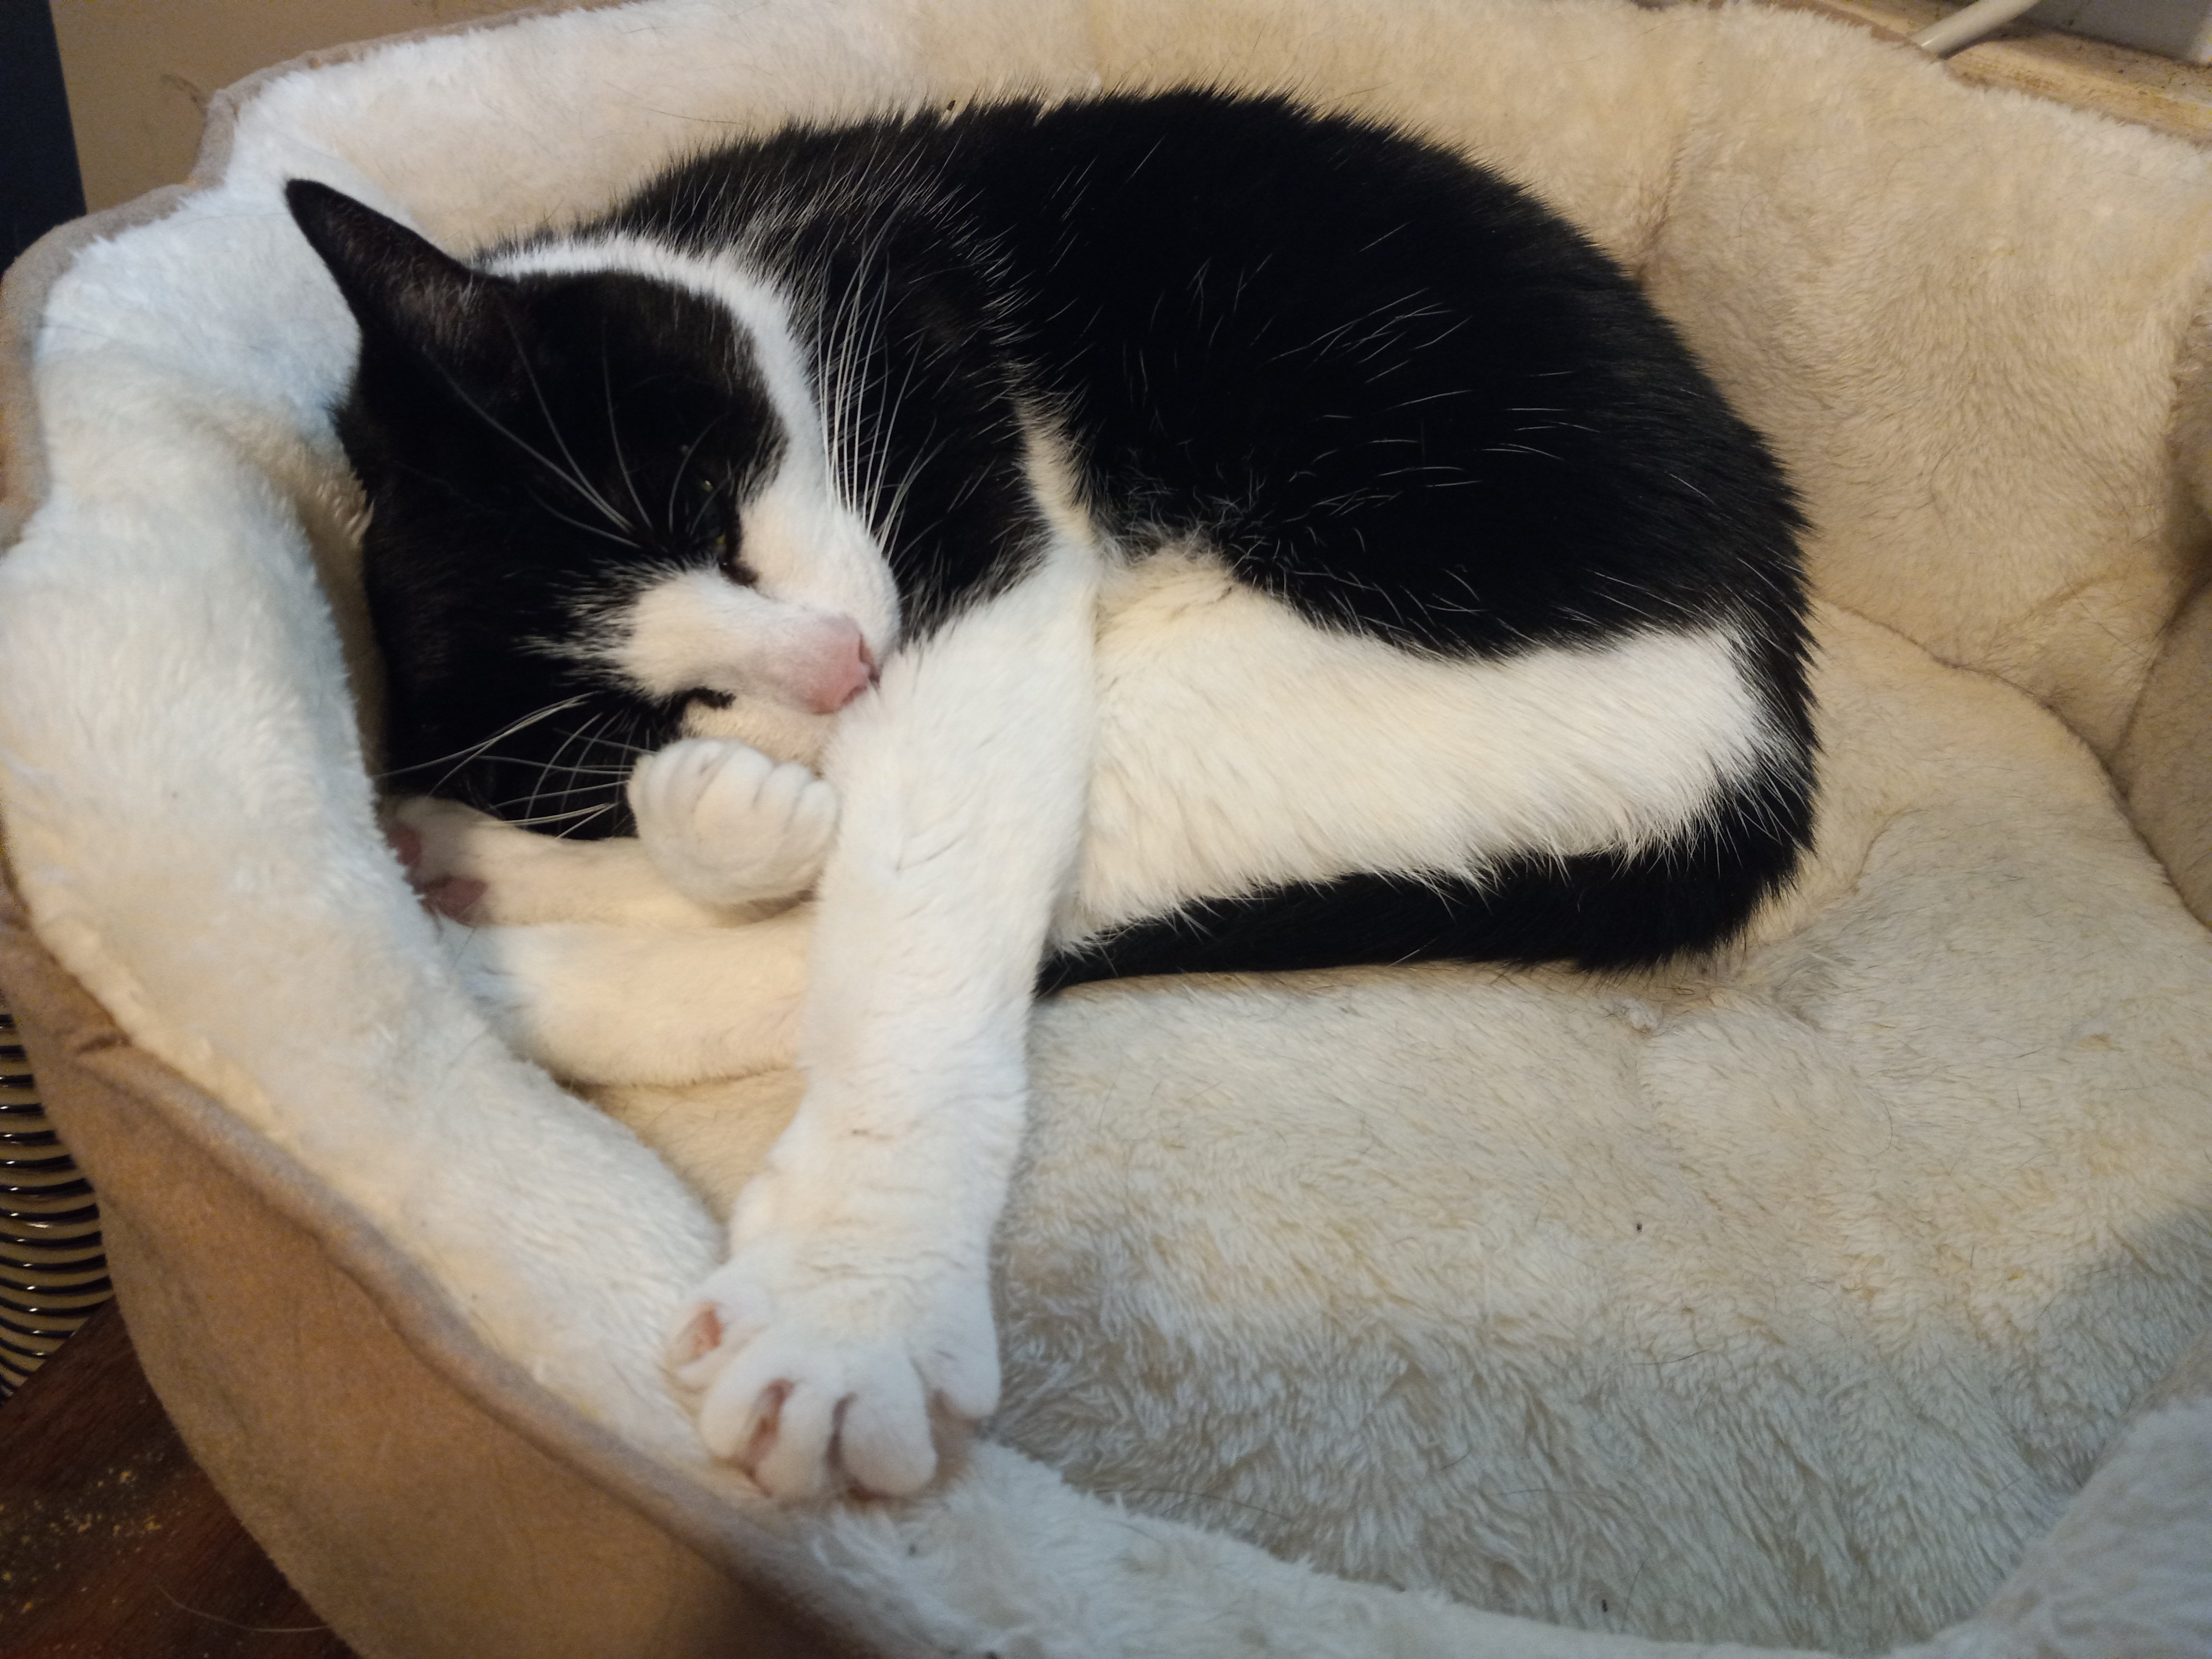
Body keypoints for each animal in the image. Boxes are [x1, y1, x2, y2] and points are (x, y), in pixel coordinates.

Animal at [289, 97, 1814, 1513]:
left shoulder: (951, 481)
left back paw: (503, 946)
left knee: (927, 908)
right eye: (649, 713)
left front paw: (855, 1301)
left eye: (705, 514)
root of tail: (1771, 725)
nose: (834, 671)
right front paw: (683, 810)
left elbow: (917, 920)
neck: (766, 261)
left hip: (1275, 697)